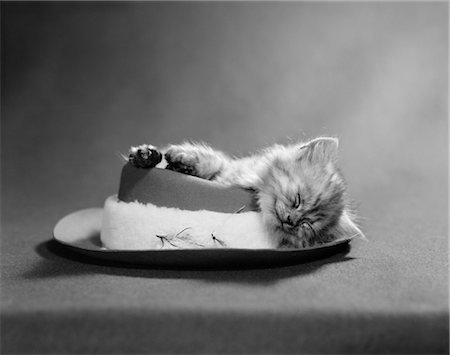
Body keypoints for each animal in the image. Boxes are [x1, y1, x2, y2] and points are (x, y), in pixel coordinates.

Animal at [126, 138, 362, 249]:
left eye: (306, 225)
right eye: (298, 200)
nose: (290, 220)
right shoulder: (225, 169)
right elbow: (211, 161)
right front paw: (168, 158)